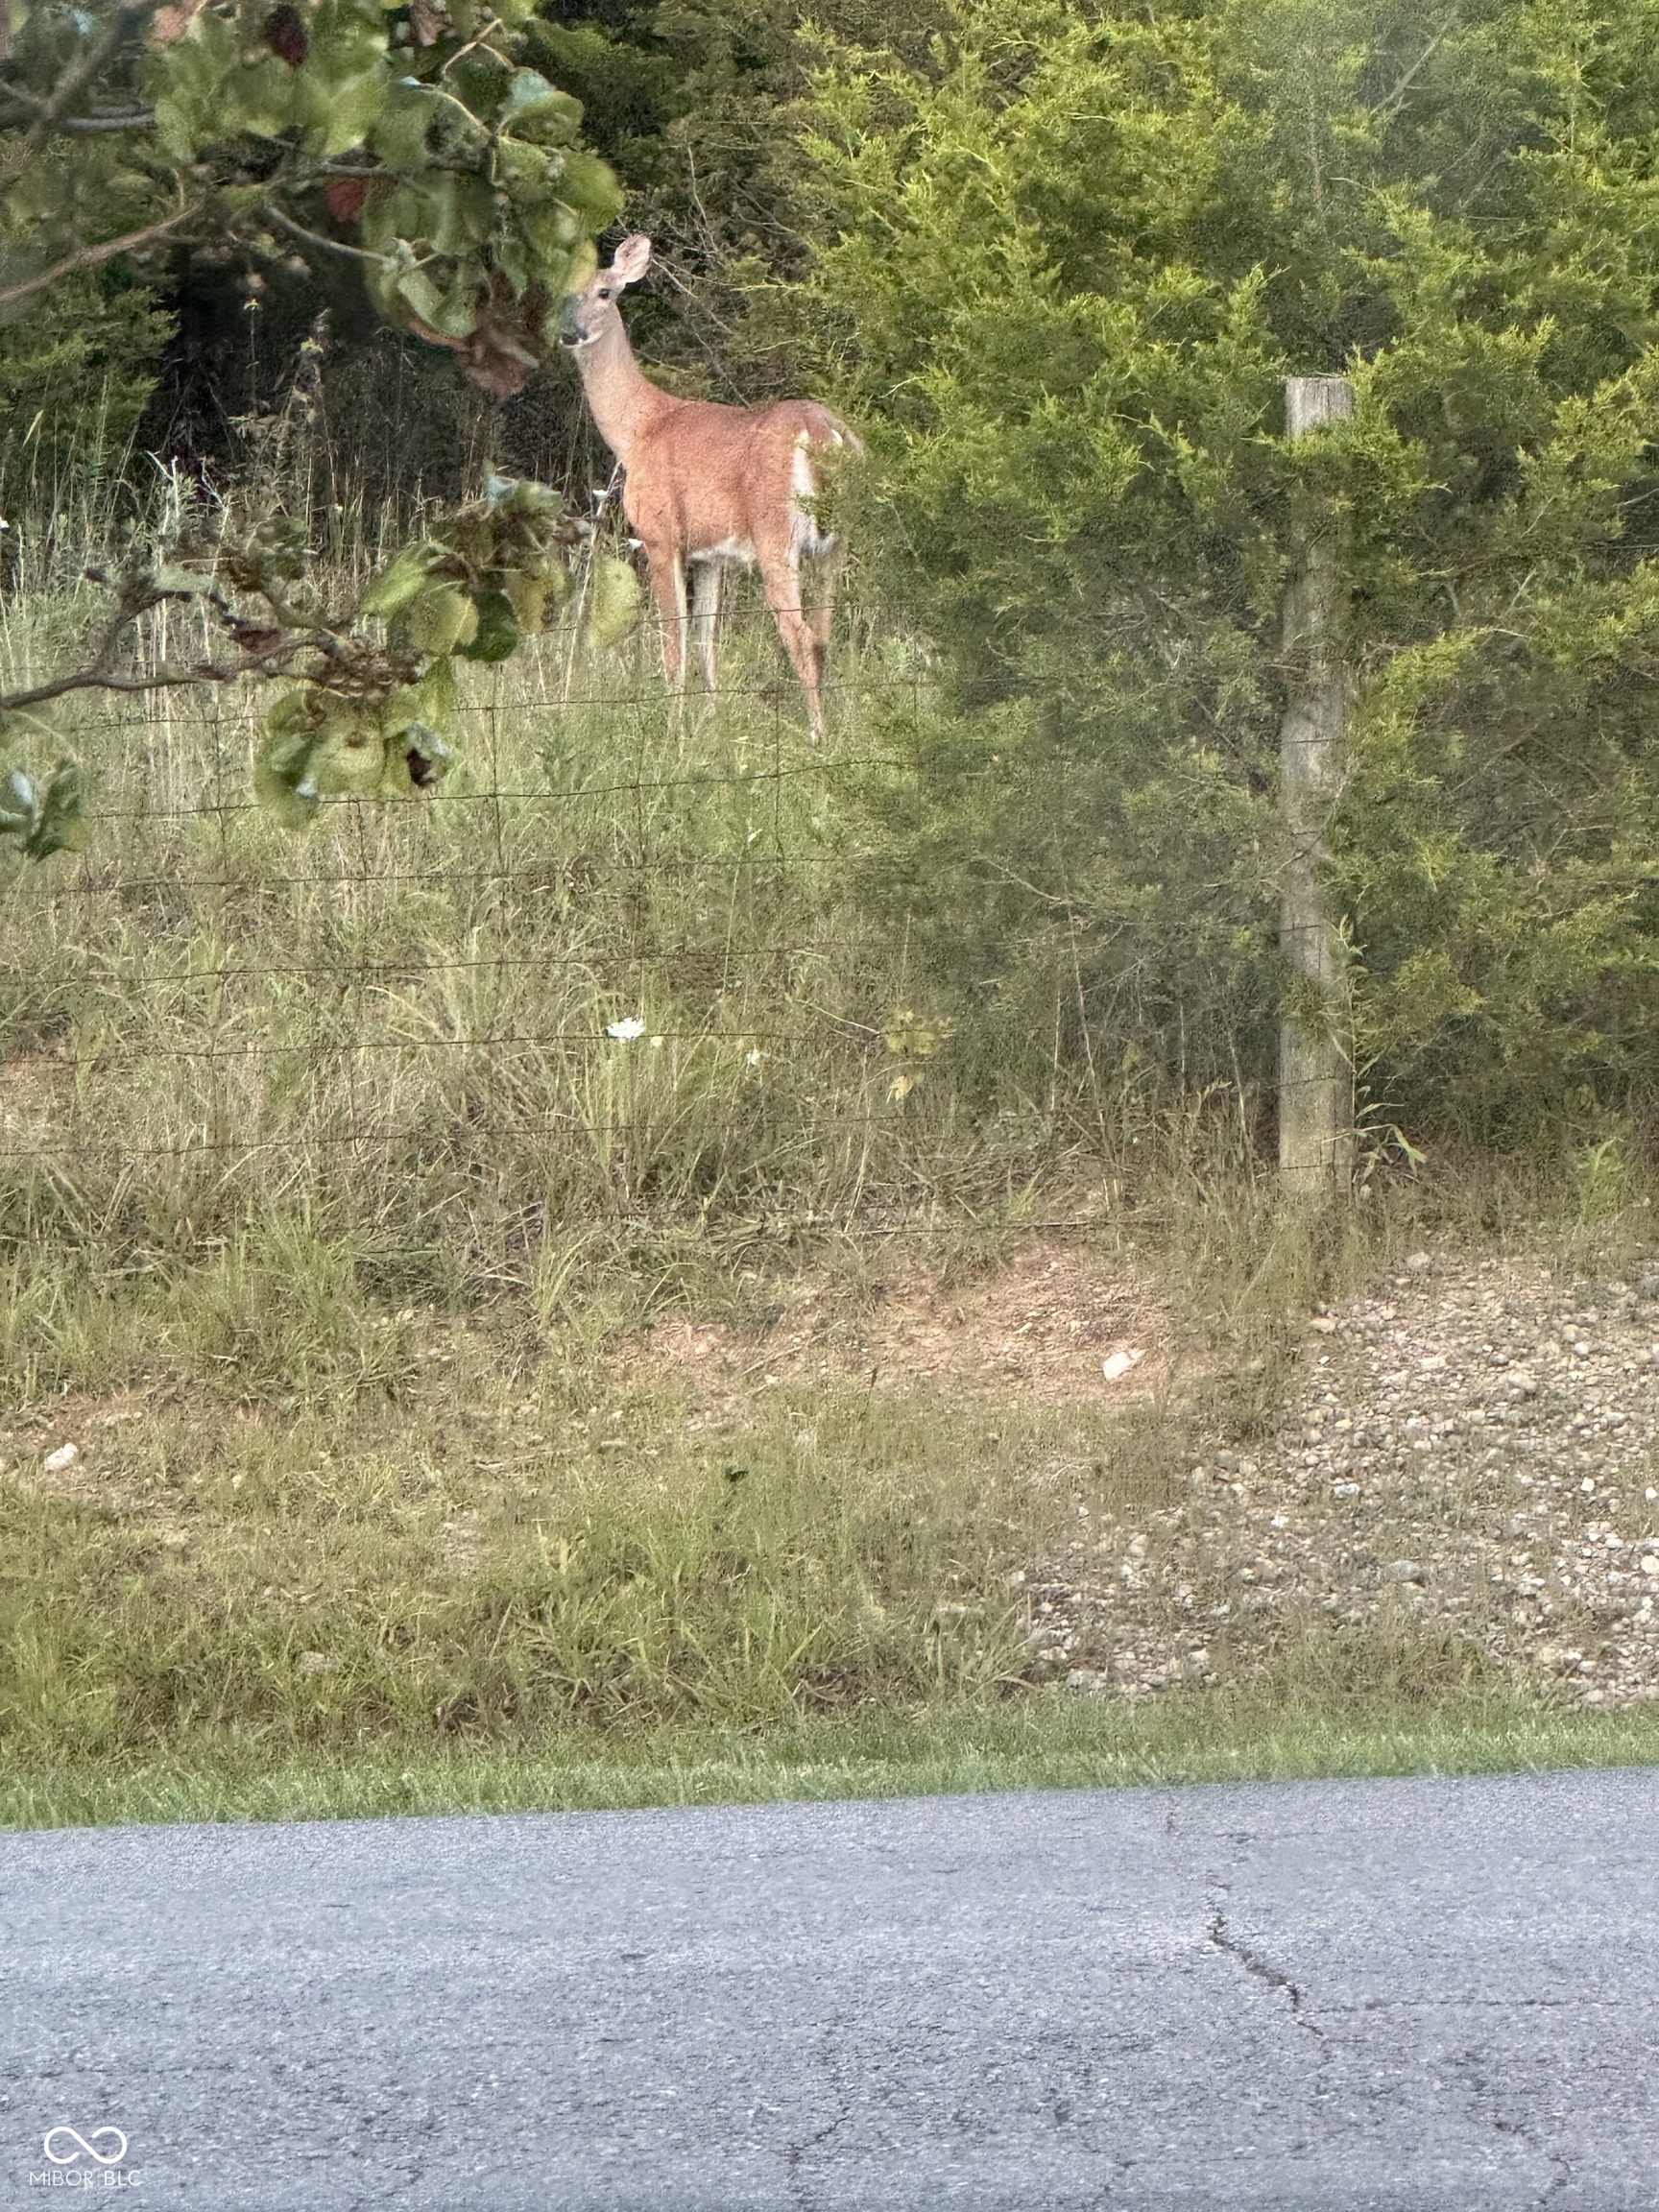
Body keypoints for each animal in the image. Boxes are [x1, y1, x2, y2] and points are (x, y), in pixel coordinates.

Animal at [565, 233, 862, 738]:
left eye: (605, 292)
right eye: (564, 295)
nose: (571, 333)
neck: (639, 429)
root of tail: (823, 431)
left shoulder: (661, 535)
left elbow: (674, 643)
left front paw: (673, 729)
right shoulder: (710, 554)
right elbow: (707, 640)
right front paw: (709, 720)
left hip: (776, 535)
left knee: (801, 634)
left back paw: (816, 734)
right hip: (836, 545)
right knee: (823, 632)